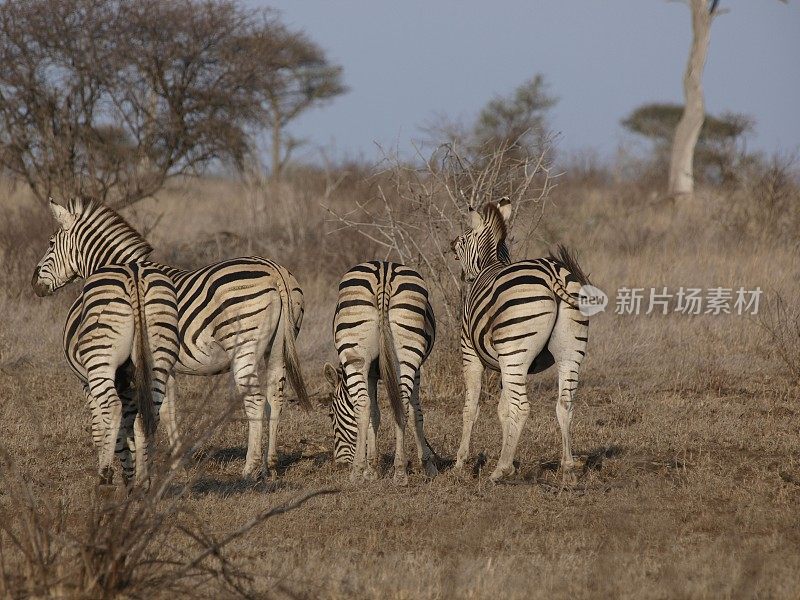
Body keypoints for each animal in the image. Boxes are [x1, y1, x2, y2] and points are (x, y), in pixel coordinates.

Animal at [32, 260, 178, 490]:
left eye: (50, 250)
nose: (34, 284)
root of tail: (134, 274)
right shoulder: (132, 386)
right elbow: (128, 428)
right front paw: (133, 474)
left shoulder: (87, 383)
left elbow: (101, 428)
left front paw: (119, 471)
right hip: (159, 359)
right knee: (148, 417)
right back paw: (143, 482)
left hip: (100, 361)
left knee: (113, 407)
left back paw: (105, 478)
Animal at [322, 262, 440, 482]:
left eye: (331, 414)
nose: (339, 464)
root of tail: (385, 272)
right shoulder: (401, 371)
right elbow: (406, 413)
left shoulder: (375, 373)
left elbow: (382, 415)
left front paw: (372, 468)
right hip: (403, 353)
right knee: (396, 404)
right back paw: (398, 471)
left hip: (357, 355)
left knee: (364, 404)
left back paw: (361, 470)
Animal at [450, 197, 592, 482]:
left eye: (466, 237)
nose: (451, 244)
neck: (490, 263)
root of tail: (552, 273)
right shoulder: (509, 365)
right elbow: (503, 410)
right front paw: (510, 456)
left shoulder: (470, 352)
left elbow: (471, 408)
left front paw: (461, 462)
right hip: (569, 352)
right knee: (565, 404)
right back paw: (568, 466)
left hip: (515, 351)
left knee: (523, 407)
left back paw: (500, 470)